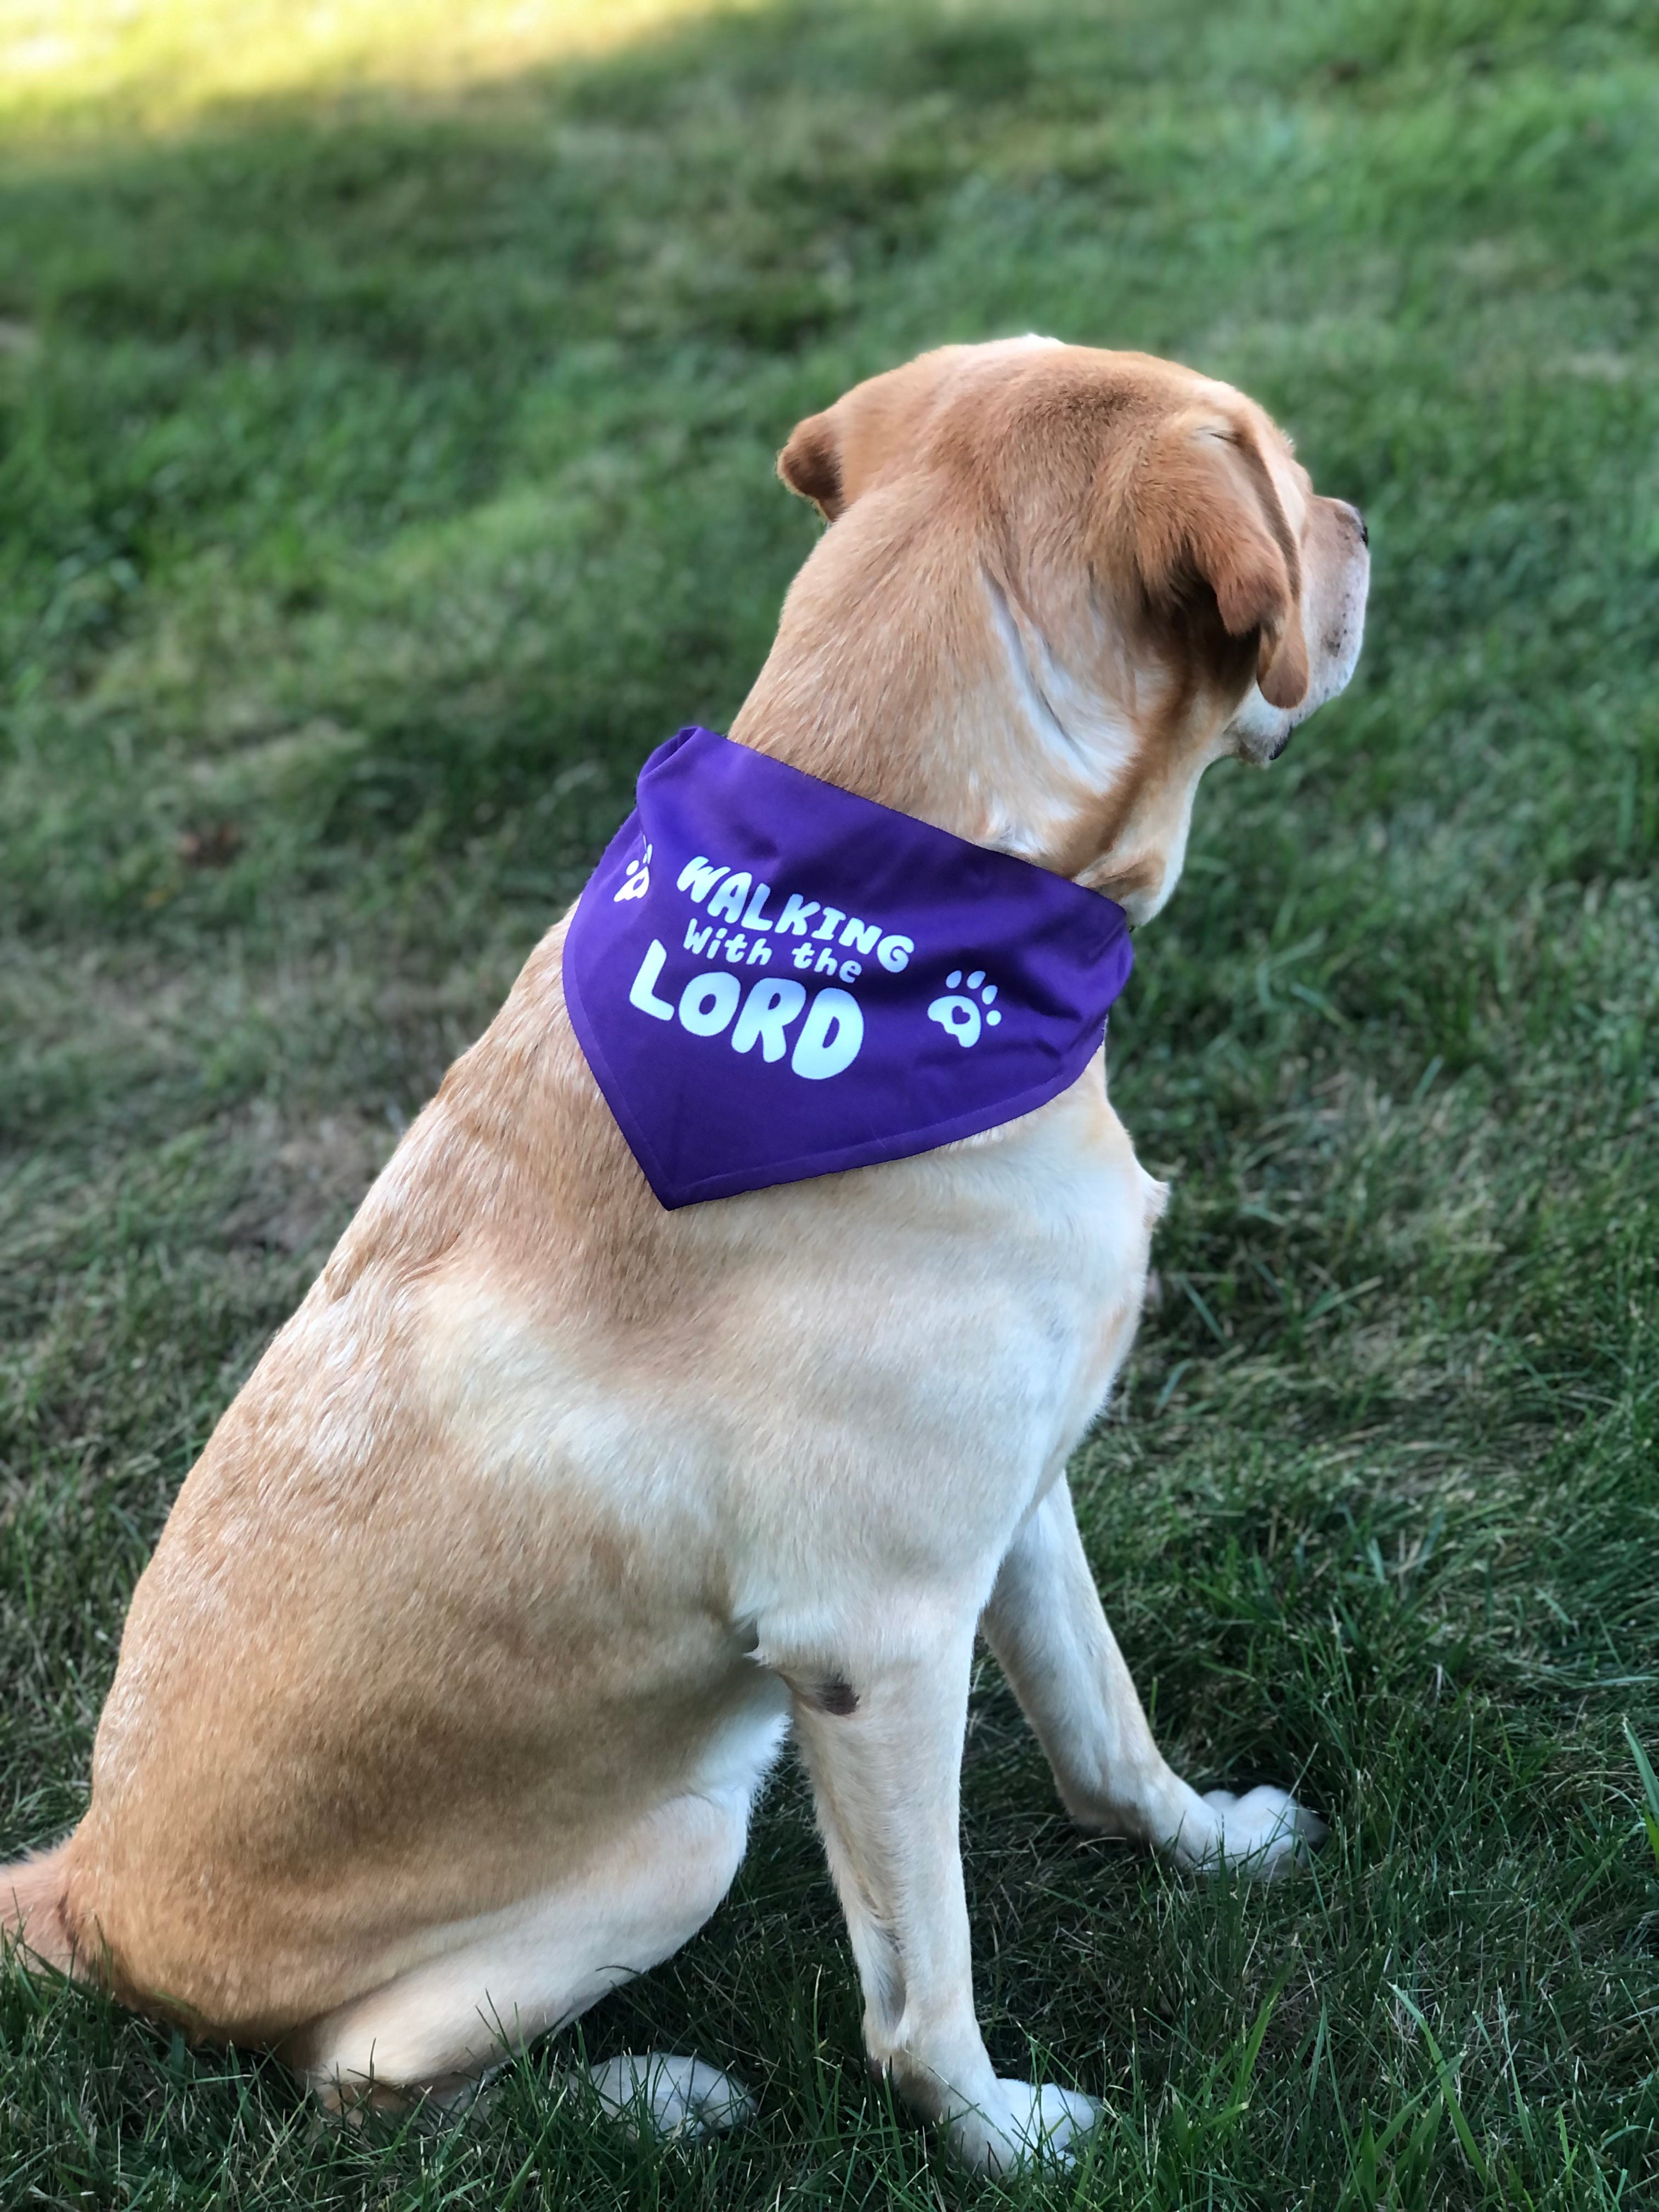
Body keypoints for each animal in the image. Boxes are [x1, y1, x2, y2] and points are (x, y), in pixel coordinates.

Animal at [6, 336, 1371, 2168]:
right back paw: (647, 2098)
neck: (898, 906)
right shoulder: (877, 1644)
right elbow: (920, 2001)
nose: (1359, 522)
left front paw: (1213, 1840)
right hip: (684, 1835)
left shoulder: (1016, 1508)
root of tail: (84, 1894)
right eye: (1287, 487)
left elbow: (1108, 1729)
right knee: (370, 2083)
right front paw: (1006, 2140)